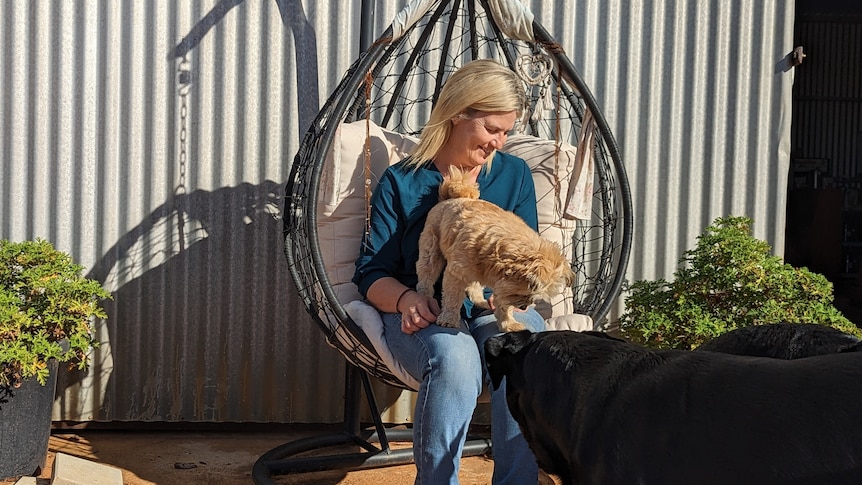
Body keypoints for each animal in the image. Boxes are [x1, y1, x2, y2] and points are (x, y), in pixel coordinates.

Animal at [416, 167, 576, 332]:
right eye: (524, 294)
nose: (524, 307)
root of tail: (450, 198)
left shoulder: (500, 284)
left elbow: (504, 305)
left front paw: (509, 323)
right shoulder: (456, 273)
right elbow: (452, 297)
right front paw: (448, 319)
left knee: (474, 288)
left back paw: (482, 302)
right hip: (431, 250)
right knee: (426, 275)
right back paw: (425, 295)